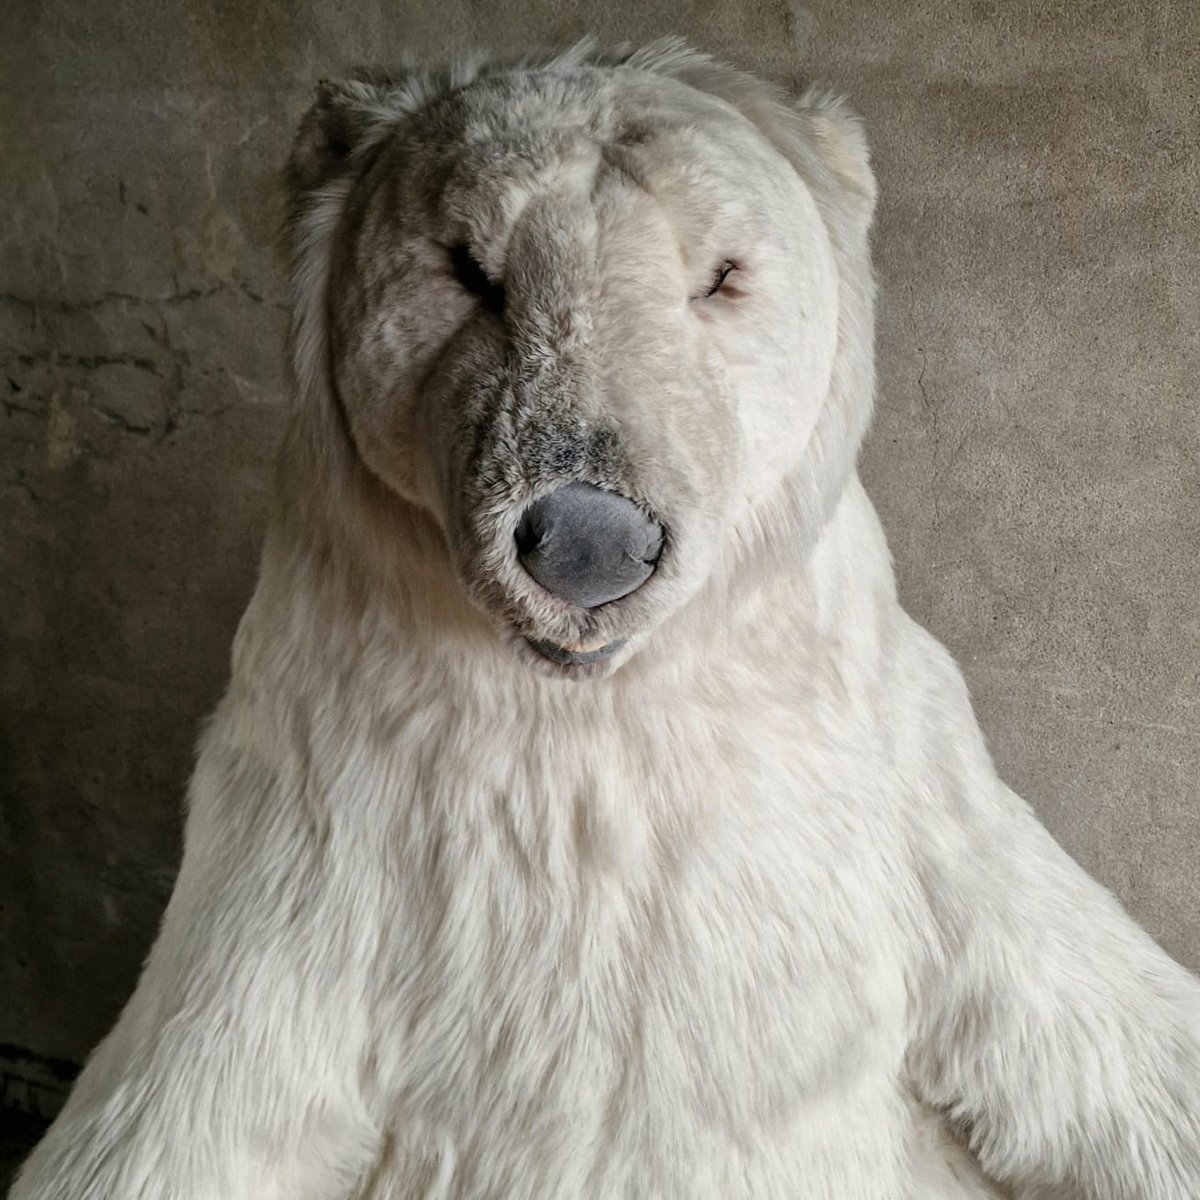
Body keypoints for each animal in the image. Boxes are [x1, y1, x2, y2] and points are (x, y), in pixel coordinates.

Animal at [12, 38, 1200, 1200]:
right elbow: (193, 1089)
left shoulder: (898, 776)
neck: (595, 715)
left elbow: (1081, 1012)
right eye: (467, 270)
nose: (589, 541)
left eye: (722, 276)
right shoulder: (319, 809)